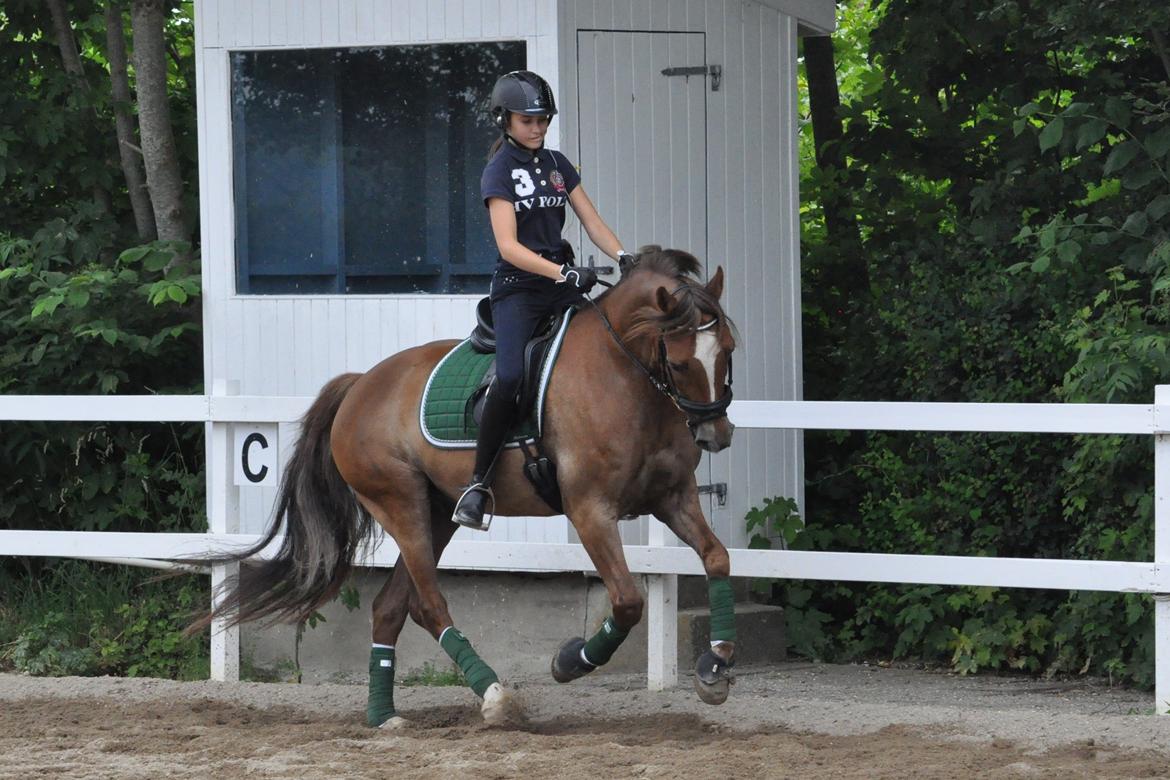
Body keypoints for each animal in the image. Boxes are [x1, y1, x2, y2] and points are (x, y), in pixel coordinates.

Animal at [196, 246, 734, 729]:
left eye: (727, 351)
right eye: (681, 363)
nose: (716, 435)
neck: (624, 377)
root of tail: (360, 384)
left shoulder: (673, 497)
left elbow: (717, 558)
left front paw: (715, 665)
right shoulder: (590, 511)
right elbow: (627, 602)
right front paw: (569, 662)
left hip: (438, 514)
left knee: (392, 607)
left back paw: (384, 716)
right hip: (402, 504)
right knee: (429, 605)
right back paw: (494, 696)